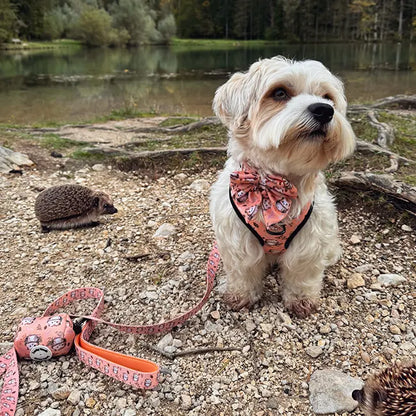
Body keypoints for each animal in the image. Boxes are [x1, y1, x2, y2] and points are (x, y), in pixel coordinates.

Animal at [210, 56, 356, 318]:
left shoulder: (310, 241)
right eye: (279, 93)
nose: (324, 110)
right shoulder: (237, 239)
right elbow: (242, 271)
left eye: (327, 96)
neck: (274, 185)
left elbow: (301, 273)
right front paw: (240, 296)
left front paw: (302, 301)